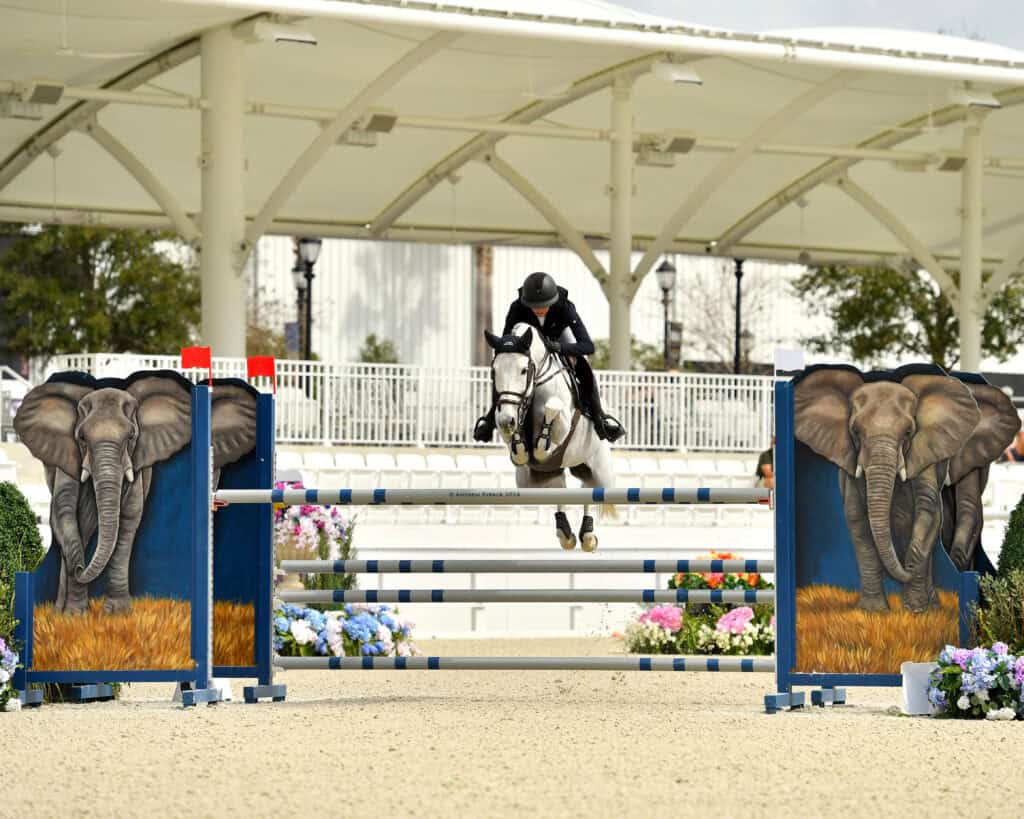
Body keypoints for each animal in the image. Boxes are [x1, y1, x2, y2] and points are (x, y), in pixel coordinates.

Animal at [14, 372, 257, 615]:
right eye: (81, 438)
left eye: (131, 437)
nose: (80, 567)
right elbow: (63, 511)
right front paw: (75, 615)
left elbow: (129, 516)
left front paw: (116, 613)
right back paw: (60, 611)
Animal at [484, 323, 617, 551]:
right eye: (494, 371)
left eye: (524, 370)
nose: (507, 420)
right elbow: (519, 449)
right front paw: (519, 443)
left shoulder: (563, 422)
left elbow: (552, 409)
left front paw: (540, 444)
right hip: (537, 479)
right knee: (560, 489)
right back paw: (566, 534)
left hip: (599, 468)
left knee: (591, 487)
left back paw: (588, 536)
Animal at [794, 366, 979, 613]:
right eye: (855, 431)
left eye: (909, 432)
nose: (907, 567)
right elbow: (857, 518)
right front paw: (873, 611)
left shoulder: (925, 454)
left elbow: (928, 508)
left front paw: (916, 610)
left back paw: (930, 607)